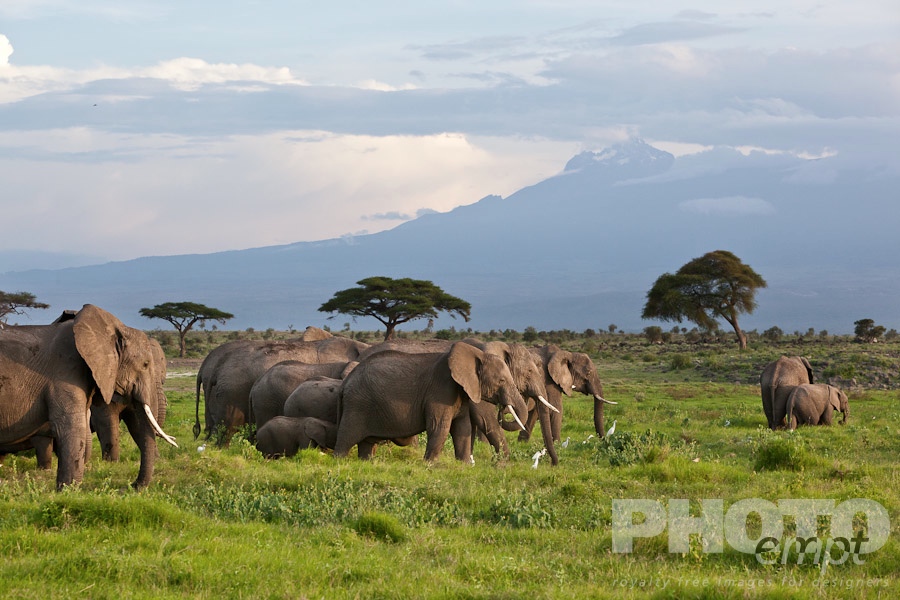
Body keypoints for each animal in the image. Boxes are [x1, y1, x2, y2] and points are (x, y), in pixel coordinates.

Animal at [0, 305, 177, 490]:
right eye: (145, 365)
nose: (132, 485)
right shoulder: (65, 373)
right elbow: (77, 426)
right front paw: (69, 489)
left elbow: (137, 424)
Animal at [334, 342, 529, 461]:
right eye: (502, 381)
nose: (503, 409)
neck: (477, 354)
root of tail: (345, 383)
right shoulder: (441, 390)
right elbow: (439, 427)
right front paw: (430, 465)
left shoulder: (461, 392)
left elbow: (462, 428)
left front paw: (463, 465)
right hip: (357, 405)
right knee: (346, 438)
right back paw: (339, 461)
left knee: (366, 444)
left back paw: (366, 462)